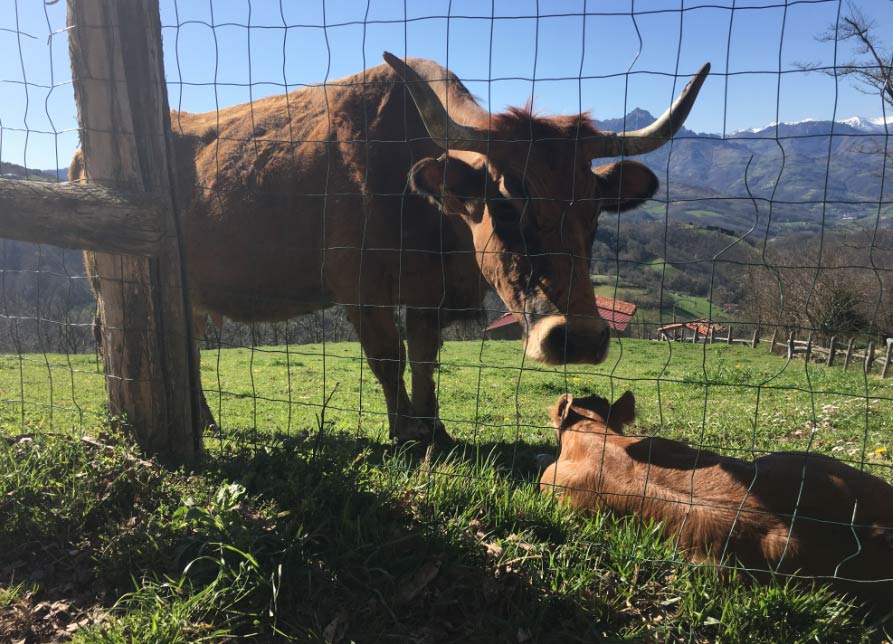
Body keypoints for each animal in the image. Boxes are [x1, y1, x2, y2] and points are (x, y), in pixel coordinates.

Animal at [73, 52, 708, 440]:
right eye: (506, 204)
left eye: (596, 210)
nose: (576, 336)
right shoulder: (358, 285)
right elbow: (388, 356)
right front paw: (404, 431)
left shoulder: (428, 291)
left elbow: (424, 356)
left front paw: (433, 428)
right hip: (113, 281)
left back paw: (202, 420)